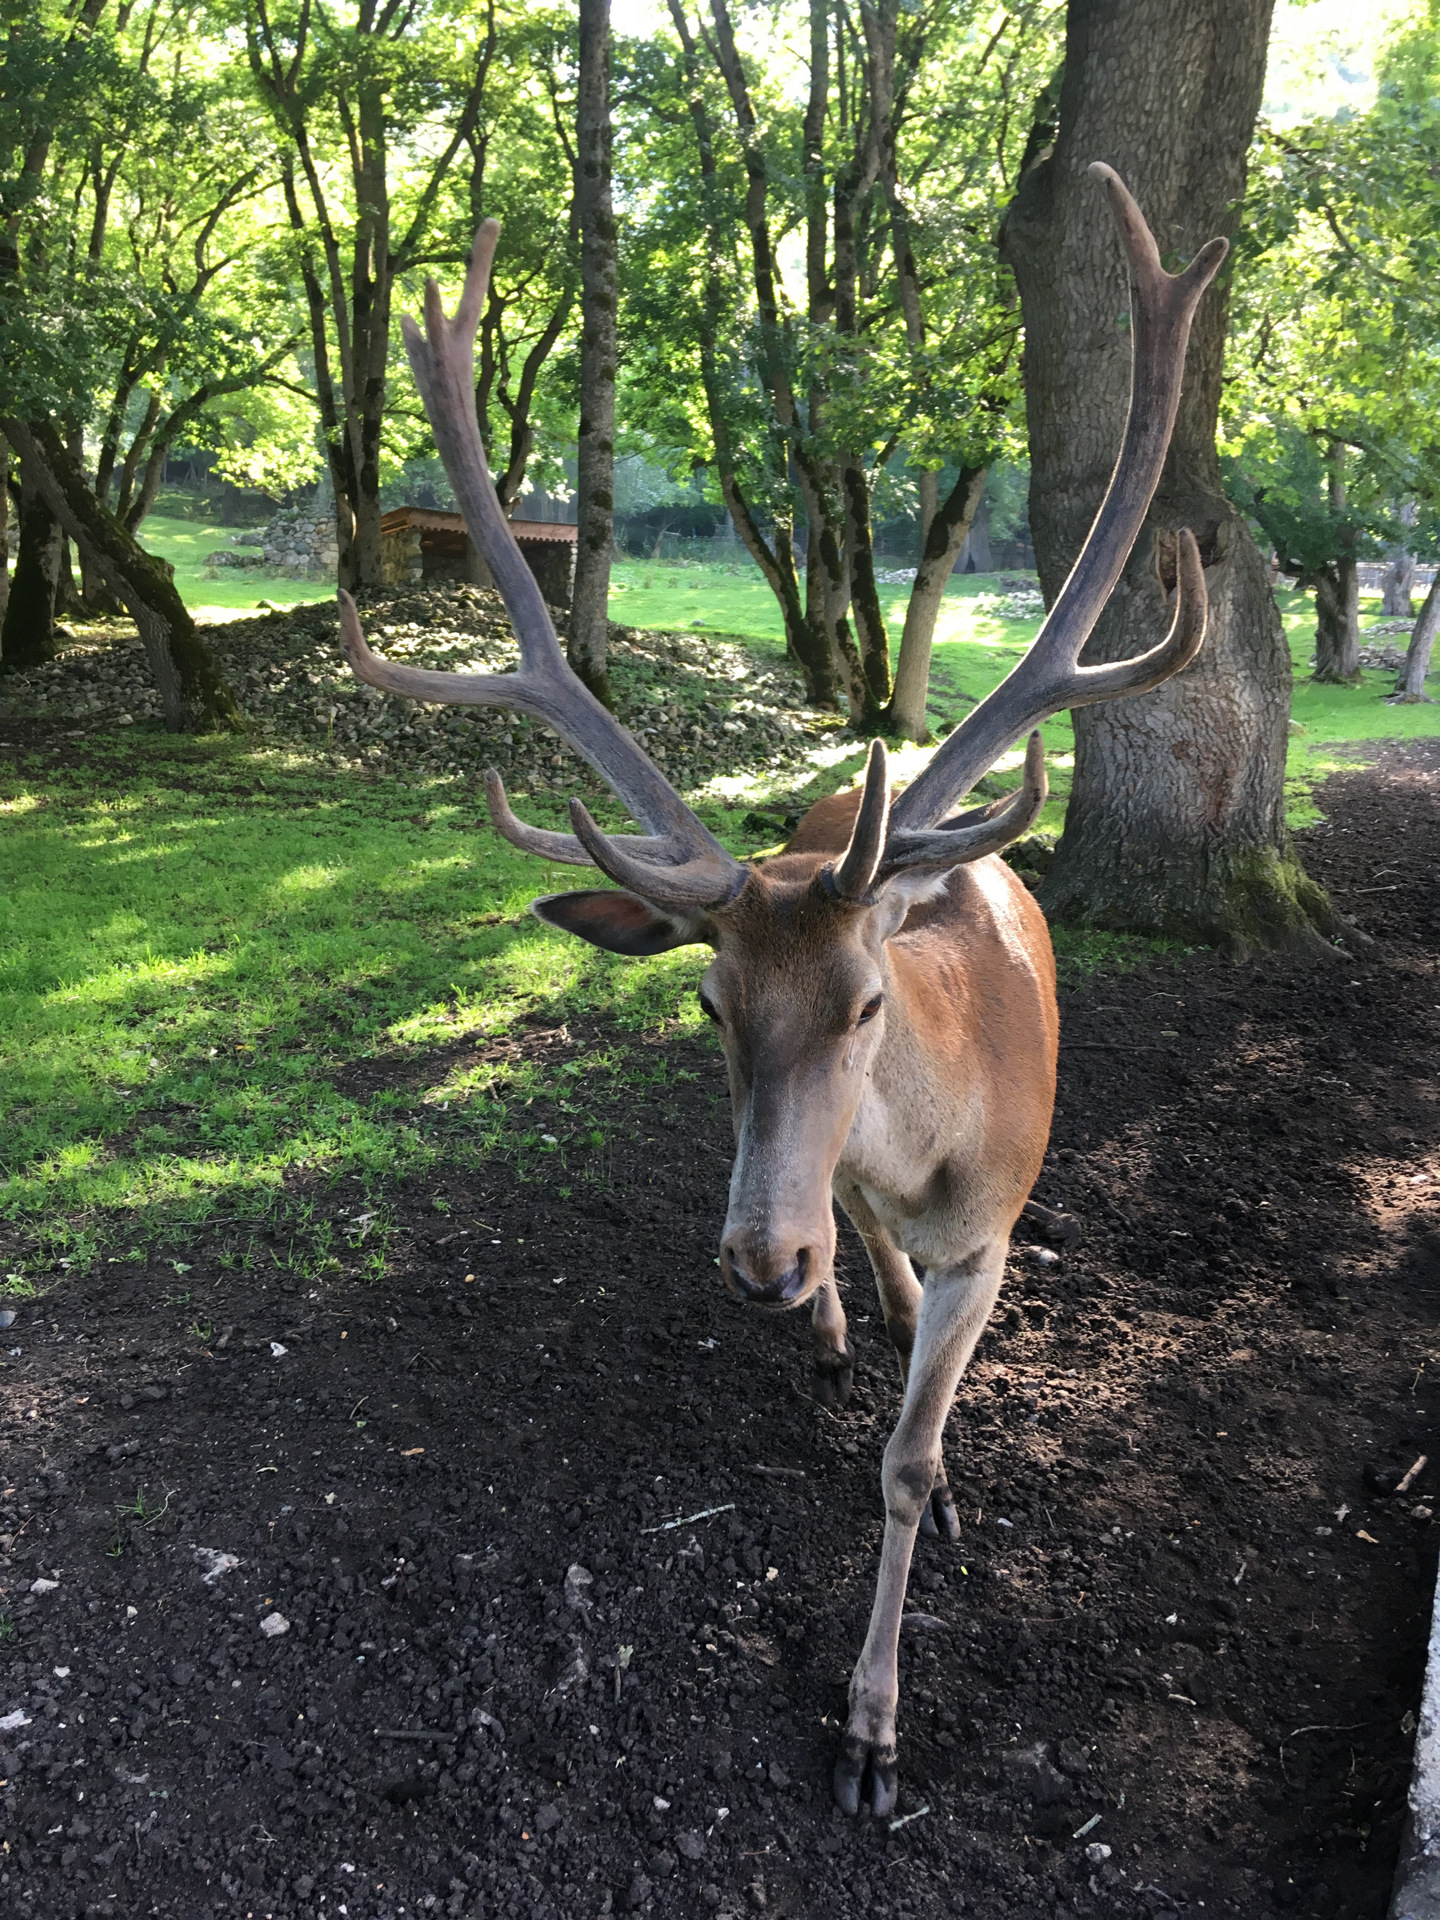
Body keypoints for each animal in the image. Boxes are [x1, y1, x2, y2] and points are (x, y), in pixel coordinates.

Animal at [337, 165, 1228, 1812]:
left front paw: (877, 1725)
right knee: (864, 1247)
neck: (932, 1145)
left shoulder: (995, 1228)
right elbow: (878, 1291)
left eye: (872, 1003)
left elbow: (915, 1457)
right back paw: (833, 1305)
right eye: (705, 1008)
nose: (755, 1261)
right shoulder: (854, 1185)